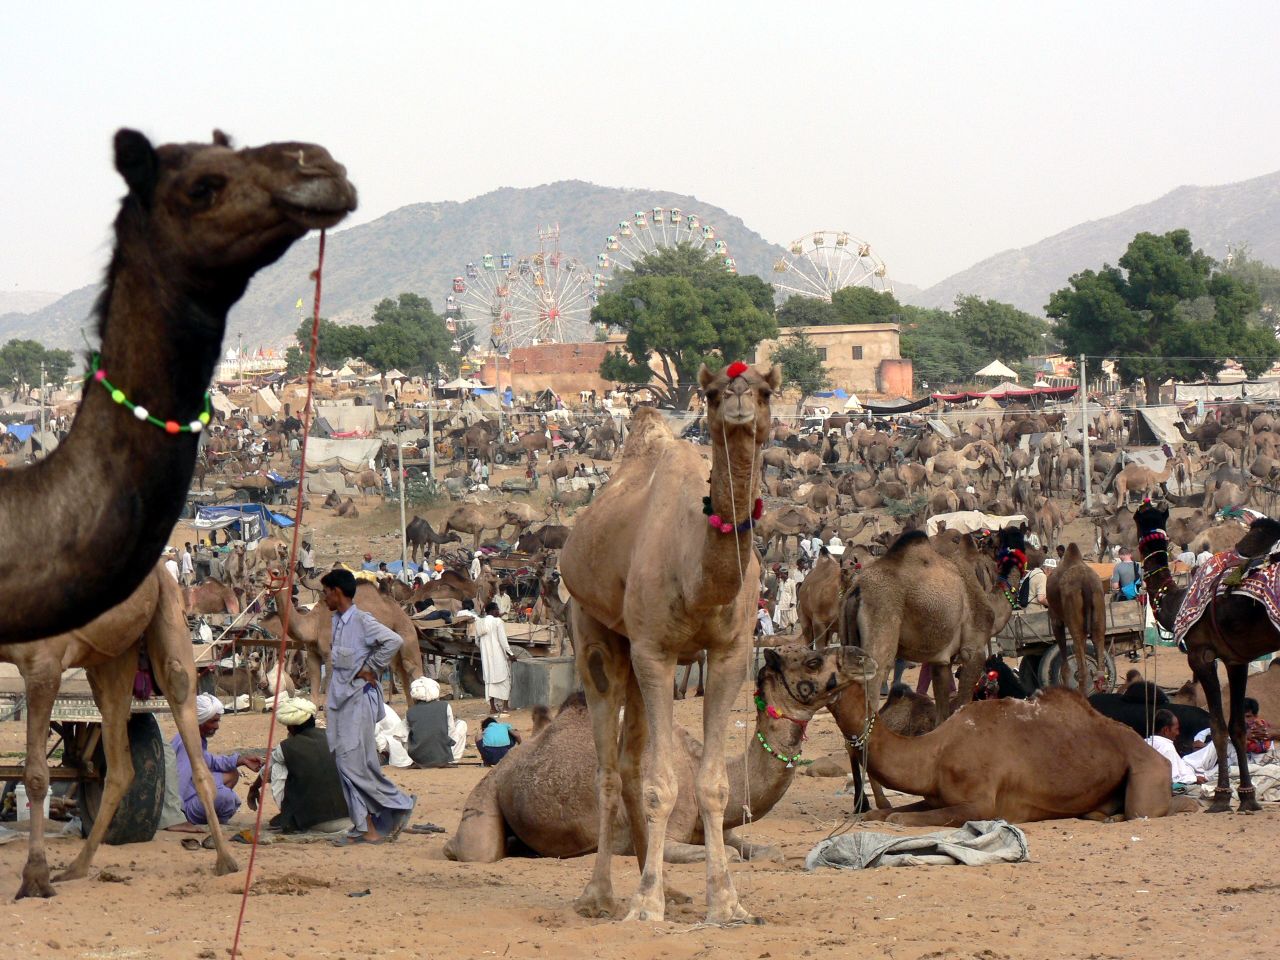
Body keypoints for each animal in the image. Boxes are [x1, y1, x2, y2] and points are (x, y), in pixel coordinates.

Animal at [2, 568, 239, 901]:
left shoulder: (43, 661)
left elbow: (36, 775)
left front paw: (35, 879)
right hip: (113, 657)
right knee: (120, 760)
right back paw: (76, 868)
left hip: (167, 618)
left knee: (180, 689)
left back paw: (226, 861)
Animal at [445, 647, 875, 865]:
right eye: (813, 660)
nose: (863, 657)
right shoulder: (659, 835)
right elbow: (725, 857)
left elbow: (763, 850)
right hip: (488, 789)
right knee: (476, 849)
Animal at [560, 363, 778, 926]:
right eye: (712, 392)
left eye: (766, 390)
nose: (739, 398)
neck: (698, 574)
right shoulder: (654, 650)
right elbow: (661, 783)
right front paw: (643, 906)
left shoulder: (730, 653)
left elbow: (713, 785)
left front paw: (726, 902)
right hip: (596, 631)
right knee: (609, 769)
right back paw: (599, 896)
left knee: (630, 762)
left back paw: (666, 887)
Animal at [1136, 504, 1274, 814]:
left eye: (1139, 519)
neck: (1177, 602)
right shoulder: (1236, 659)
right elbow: (1238, 727)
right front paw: (1247, 797)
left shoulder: (1201, 655)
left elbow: (1218, 727)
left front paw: (1221, 797)